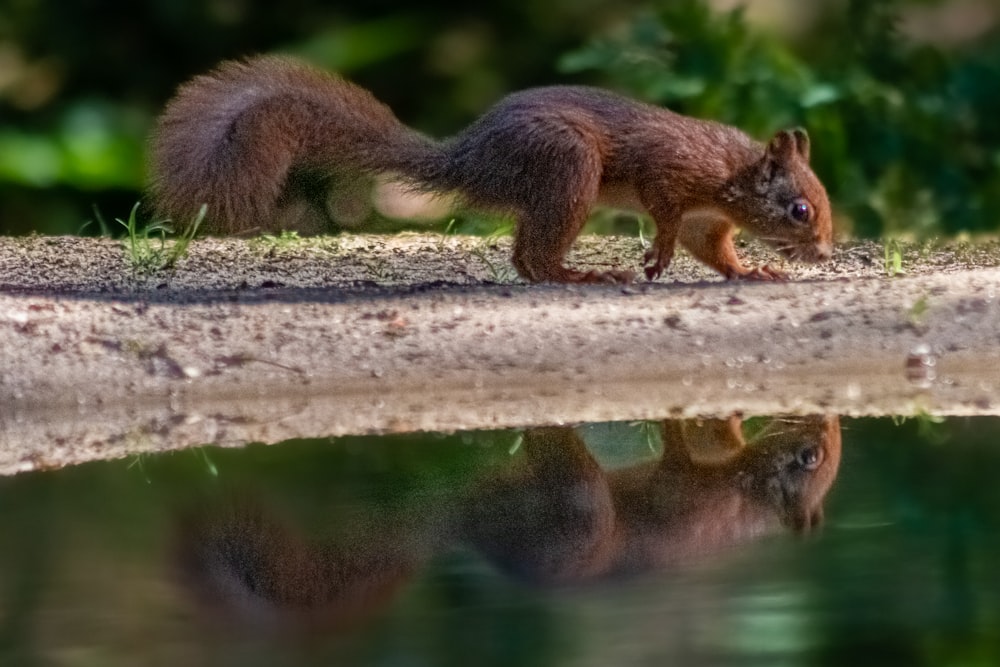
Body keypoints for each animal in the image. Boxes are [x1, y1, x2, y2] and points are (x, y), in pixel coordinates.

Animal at [150, 57, 836, 284]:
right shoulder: (670, 175)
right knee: (535, 257)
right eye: (799, 209)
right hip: (569, 168)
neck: (730, 175)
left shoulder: (707, 221)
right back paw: (578, 276)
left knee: (521, 254)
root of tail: (470, 156)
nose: (826, 253)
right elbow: (665, 214)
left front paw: (753, 270)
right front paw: (658, 255)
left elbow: (713, 251)